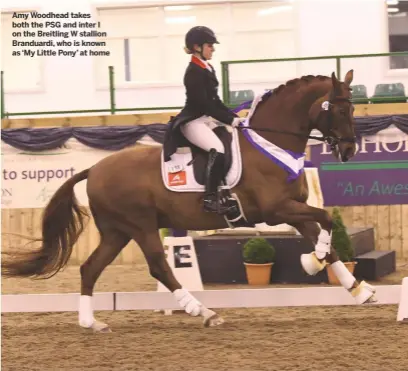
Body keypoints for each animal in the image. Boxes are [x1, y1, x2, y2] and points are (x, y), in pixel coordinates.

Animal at [2, 70, 376, 334]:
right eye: (339, 109)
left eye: (353, 108)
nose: (348, 150)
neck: (271, 141)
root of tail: (94, 169)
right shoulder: (275, 210)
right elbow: (325, 220)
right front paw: (312, 263)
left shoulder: (293, 209)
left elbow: (325, 236)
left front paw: (357, 289)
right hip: (140, 226)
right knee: (160, 266)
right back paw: (204, 312)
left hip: (117, 231)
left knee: (90, 268)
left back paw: (91, 323)